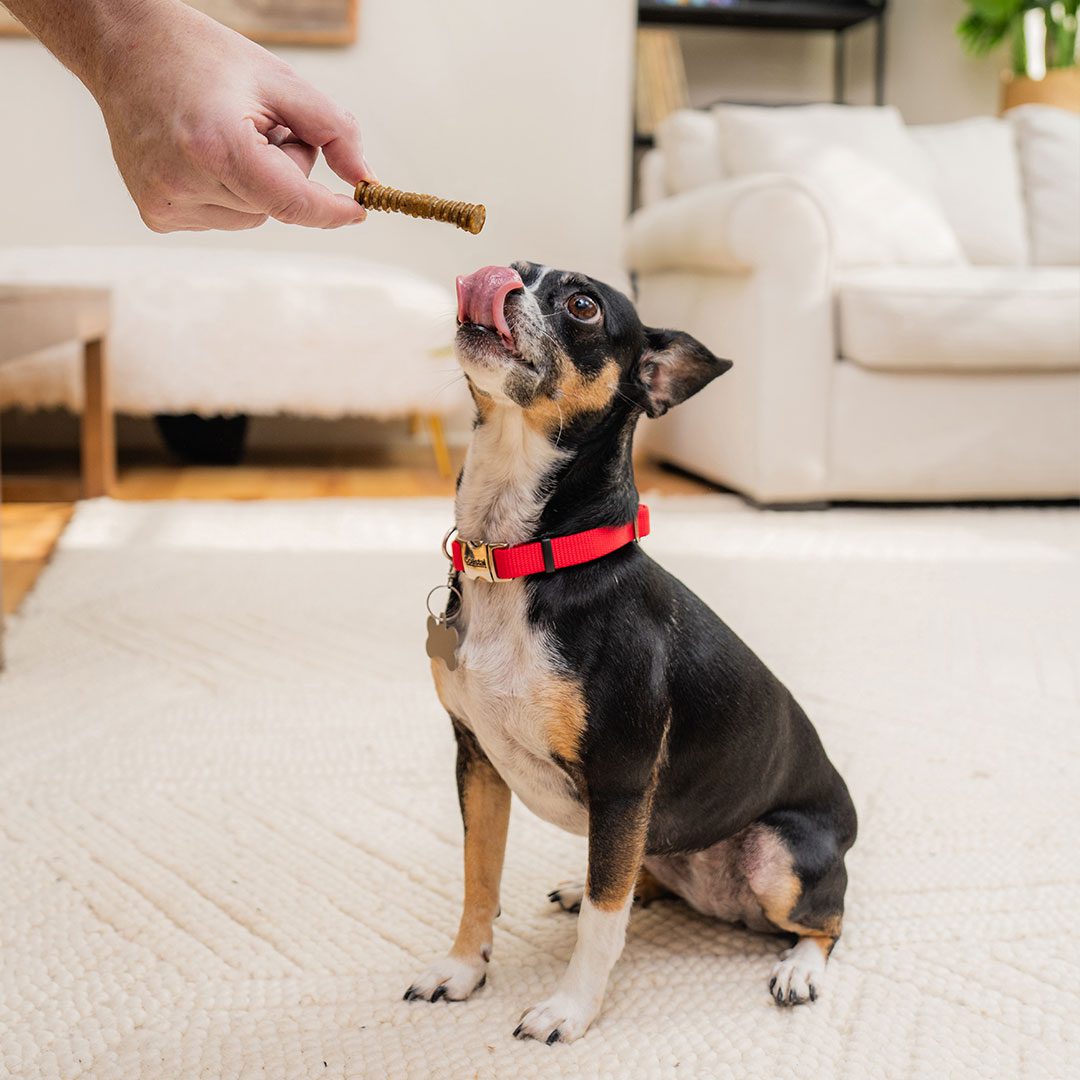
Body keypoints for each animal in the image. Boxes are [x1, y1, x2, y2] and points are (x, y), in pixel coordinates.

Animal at [406, 263, 859, 1045]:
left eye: (584, 305)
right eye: (518, 268)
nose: (496, 281)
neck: (525, 560)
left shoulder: (620, 779)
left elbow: (602, 922)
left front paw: (569, 1011)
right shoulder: (476, 760)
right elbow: (478, 879)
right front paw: (462, 969)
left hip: (780, 856)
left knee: (830, 921)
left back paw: (800, 969)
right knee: (629, 877)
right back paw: (599, 883)